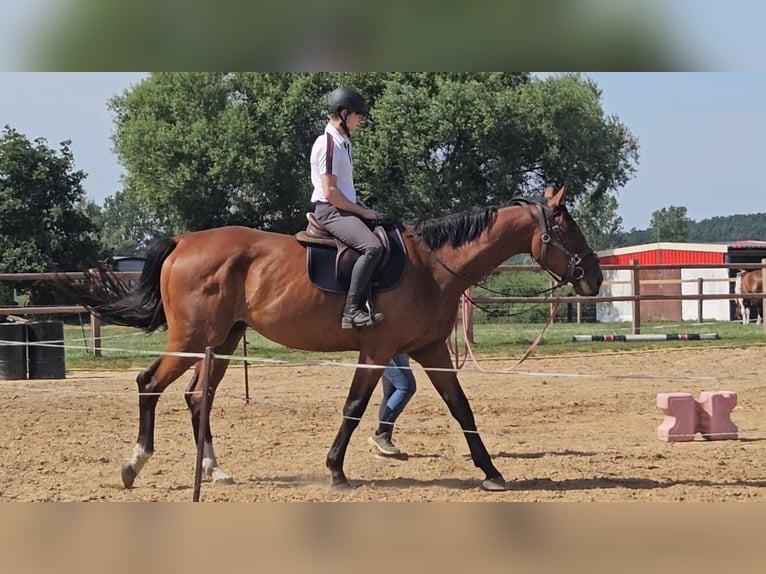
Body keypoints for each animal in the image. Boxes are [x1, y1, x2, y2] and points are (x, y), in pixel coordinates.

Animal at [57, 187, 604, 492]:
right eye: (568, 228)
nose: (595, 278)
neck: (431, 266)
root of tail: (183, 242)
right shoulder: (378, 352)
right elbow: (355, 408)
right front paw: (337, 472)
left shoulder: (430, 350)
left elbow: (461, 407)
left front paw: (491, 472)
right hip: (193, 338)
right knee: (150, 383)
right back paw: (135, 464)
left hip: (224, 341)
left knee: (198, 397)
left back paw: (214, 470)